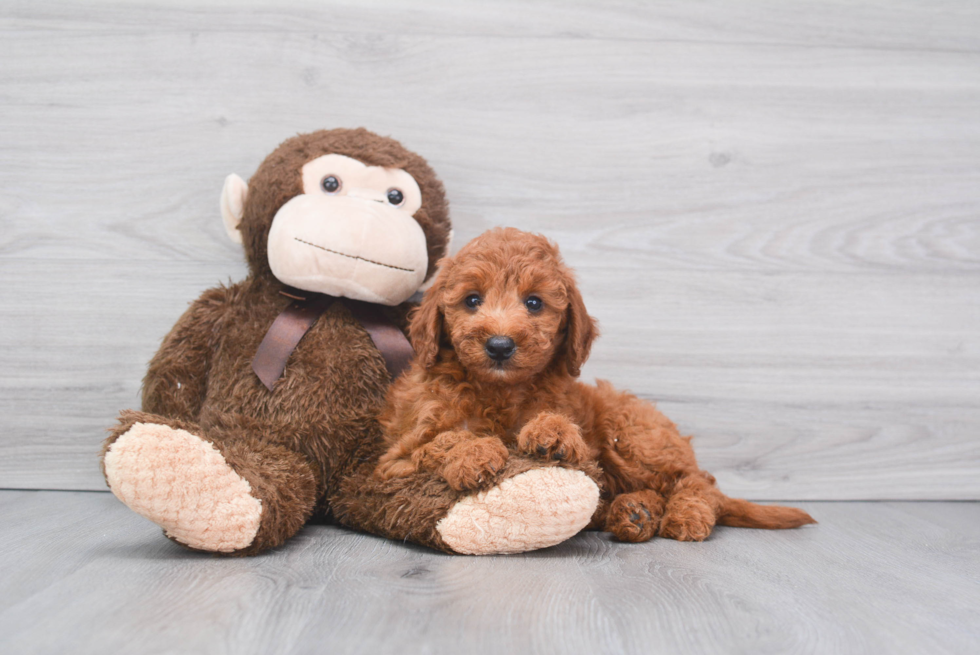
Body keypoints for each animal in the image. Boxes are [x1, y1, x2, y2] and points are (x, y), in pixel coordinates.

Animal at [376, 228, 812, 540]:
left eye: (533, 303)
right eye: (471, 300)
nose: (499, 345)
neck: (499, 390)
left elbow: (561, 428)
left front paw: (551, 432)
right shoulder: (394, 460)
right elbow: (444, 439)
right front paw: (475, 453)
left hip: (631, 434)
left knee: (697, 481)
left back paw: (684, 515)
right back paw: (635, 513)